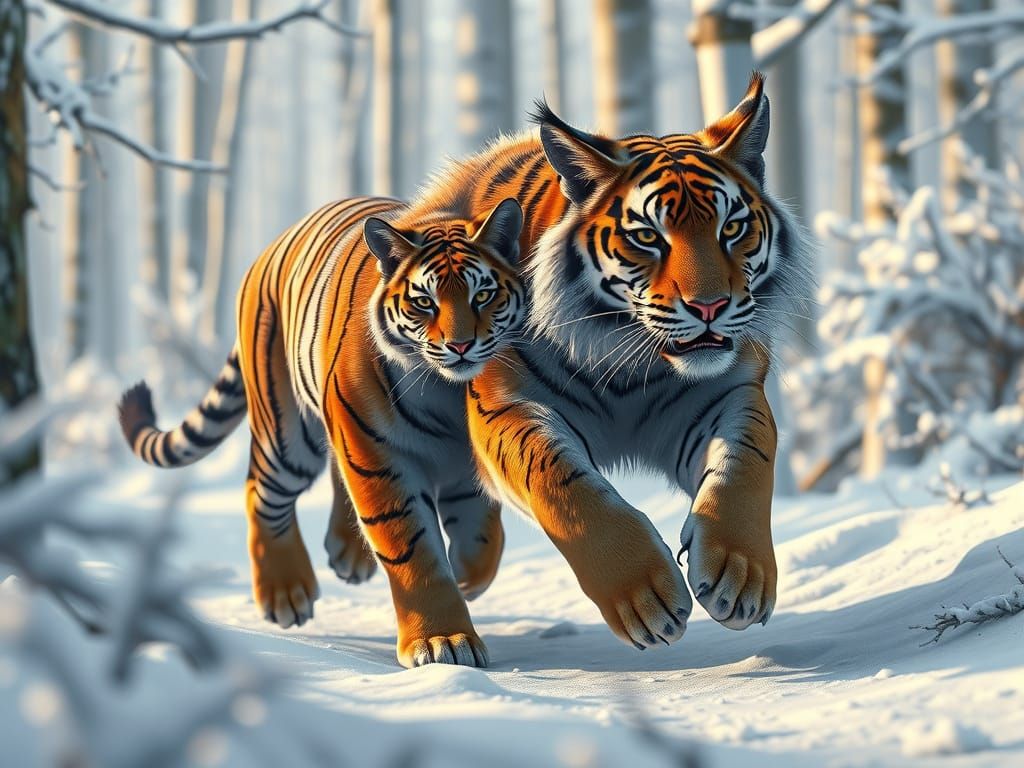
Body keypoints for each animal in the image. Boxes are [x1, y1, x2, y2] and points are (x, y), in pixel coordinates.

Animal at [118, 195, 526, 668]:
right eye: (424, 301)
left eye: (484, 294)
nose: (460, 346)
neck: (446, 393)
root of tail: (270, 249)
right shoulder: (378, 456)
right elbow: (414, 551)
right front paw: (443, 640)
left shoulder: (465, 463)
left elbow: (482, 536)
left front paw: (466, 577)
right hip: (289, 435)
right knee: (261, 491)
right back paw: (285, 593)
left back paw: (347, 554)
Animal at [412, 72, 812, 651]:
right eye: (647, 236)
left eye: (731, 229)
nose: (709, 306)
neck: (633, 364)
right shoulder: (502, 405)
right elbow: (563, 484)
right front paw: (642, 593)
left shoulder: (728, 392)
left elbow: (745, 465)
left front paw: (741, 573)